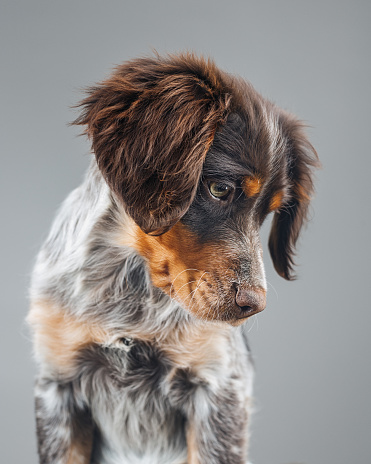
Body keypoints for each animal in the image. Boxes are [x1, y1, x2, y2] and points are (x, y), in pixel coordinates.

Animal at [29, 52, 320, 462]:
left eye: (269, 213)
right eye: (219, 189)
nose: (254, 305)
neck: (130, 292)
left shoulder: (218, 389)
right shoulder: (57, 384)